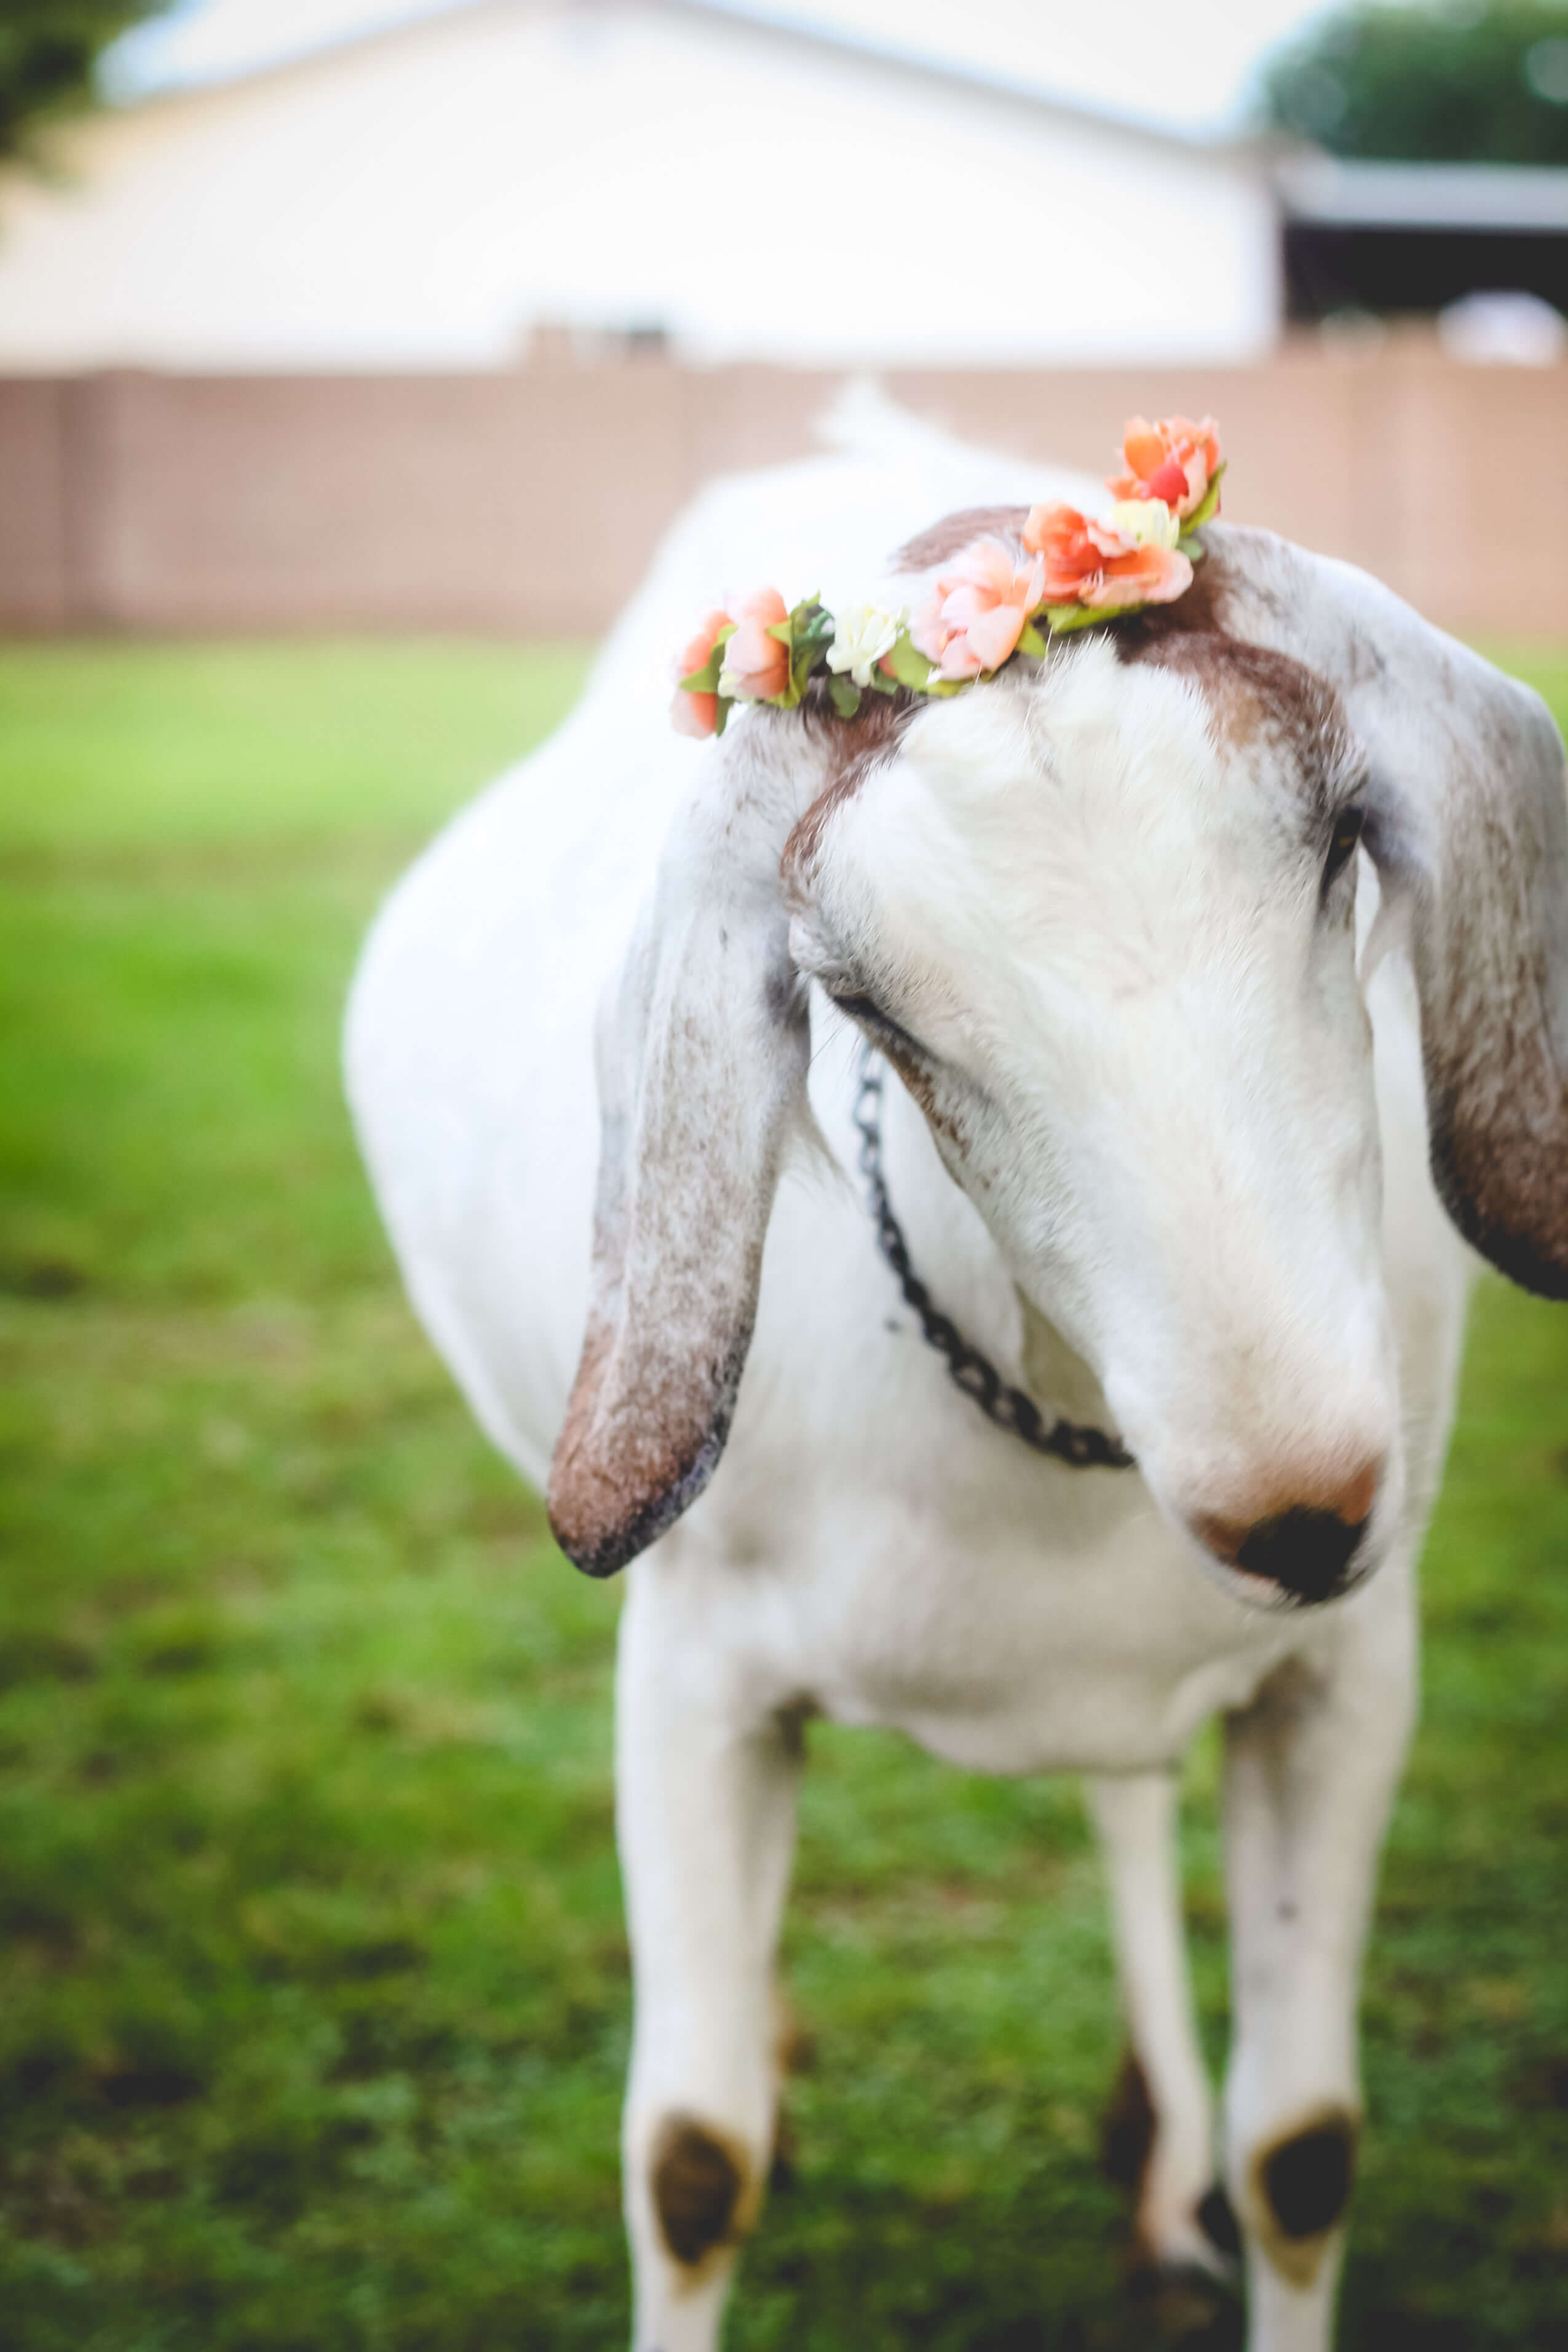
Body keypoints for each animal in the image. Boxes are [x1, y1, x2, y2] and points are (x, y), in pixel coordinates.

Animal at [345, 414, 1568, 2352]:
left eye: (1331, 851)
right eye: (863, 1004)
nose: (1296, 1509)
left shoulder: (1345, 1671)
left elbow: (1301, 2149)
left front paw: (1222, 2169)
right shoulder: (688, 1676)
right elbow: (691, 2159)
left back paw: (1155, 2163)